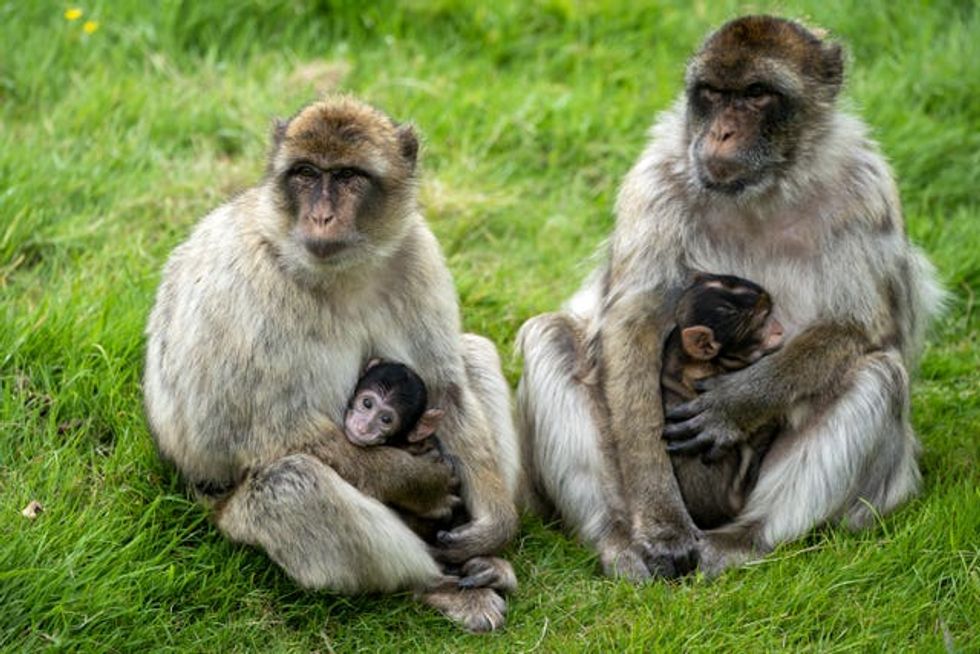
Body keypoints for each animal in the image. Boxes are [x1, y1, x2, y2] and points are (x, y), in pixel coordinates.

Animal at [144, 96, 519, 632]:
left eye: (347, 176)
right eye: (305, 173)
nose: (321, 216)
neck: (343, 273)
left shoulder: (416, 253)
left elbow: (446, 386)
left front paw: (495, 525)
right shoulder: (246, 284)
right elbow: (242, 432)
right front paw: (417, 482)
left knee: (475, 356)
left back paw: (486, 563)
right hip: (226, 513)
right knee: (290, 488)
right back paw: (435, 584)